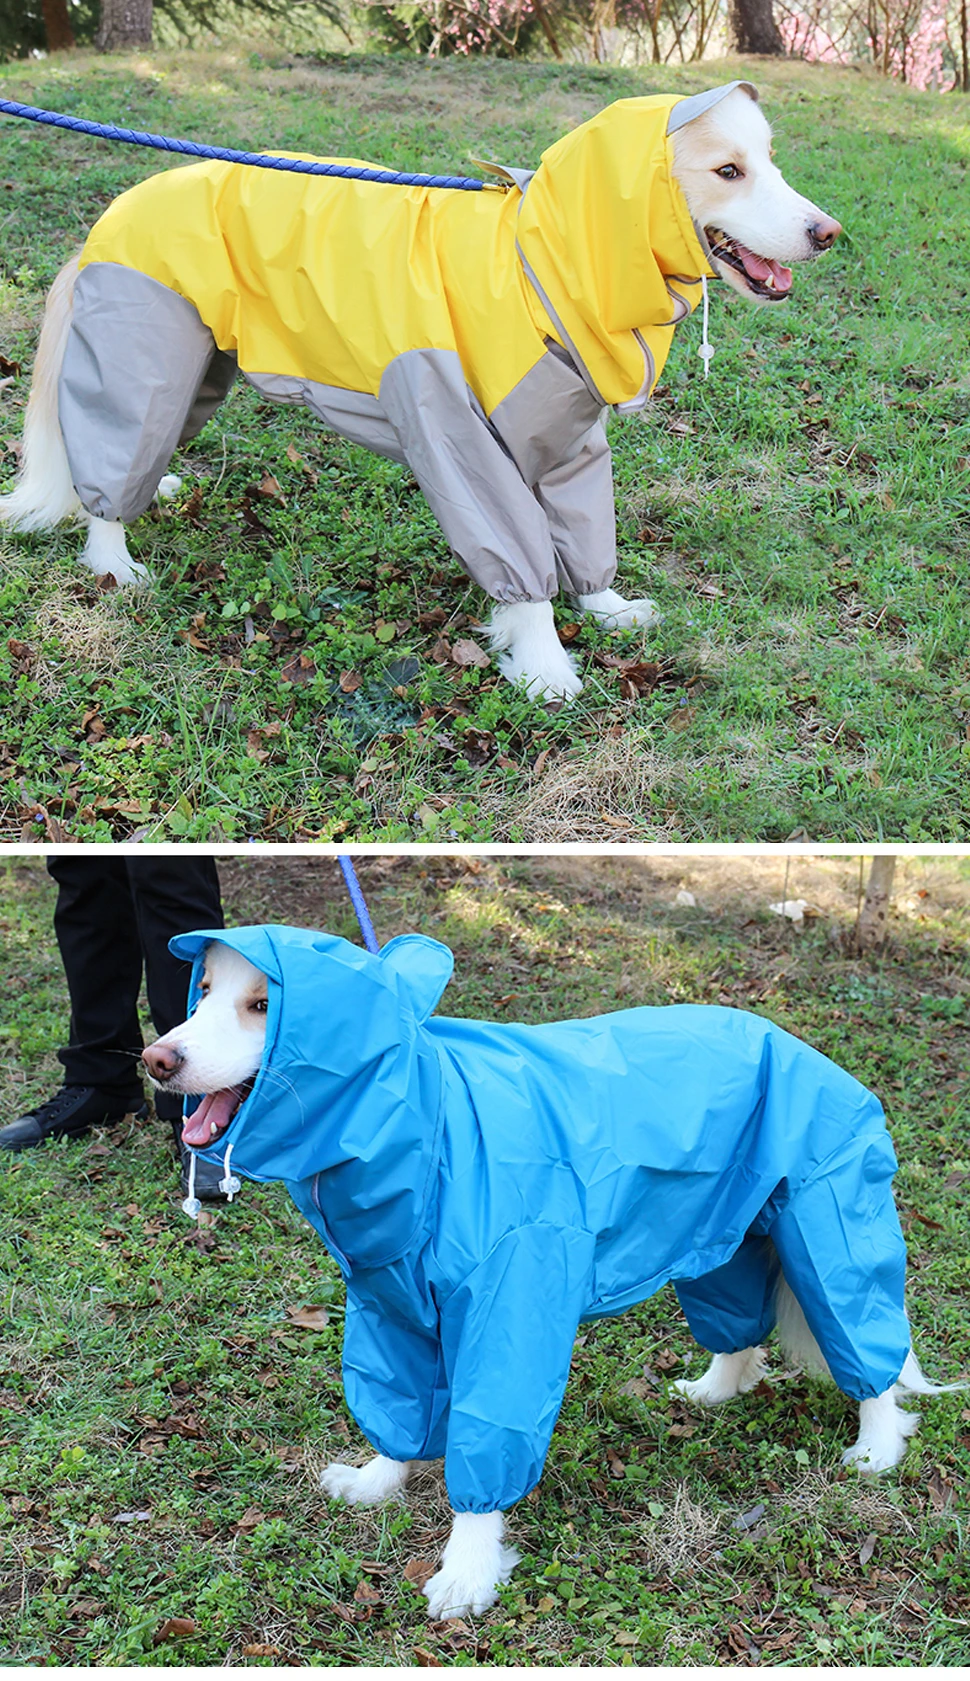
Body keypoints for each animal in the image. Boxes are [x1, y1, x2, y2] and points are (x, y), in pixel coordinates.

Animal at [0, 83, 833, 702]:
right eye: (728, 172)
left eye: (771, 161)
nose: (829, 232)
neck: (538, 266)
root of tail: (116, 210)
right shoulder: (461, 437)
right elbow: (523, 568)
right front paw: (547, 668)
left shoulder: (569, 436)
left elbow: (586, 530)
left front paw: (607, 609)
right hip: (149, 346)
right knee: (110, 457)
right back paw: (114, 558)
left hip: (199, 359)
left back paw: (160, 486)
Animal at [143, 941, 961, 1620]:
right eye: (203, 991)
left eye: (262, 1005)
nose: (155, 1059)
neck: (428, 1126)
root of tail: (802, 1048)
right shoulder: (389, 1304)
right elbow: (400, 1413)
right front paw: (378, 1483)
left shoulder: (512, 1299)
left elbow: (487, 1440)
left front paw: (467, 1574)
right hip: (721, 1230)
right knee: (740, 1327)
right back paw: (713, 1391)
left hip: (824, 1220)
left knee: (864, 1338)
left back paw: (878, 1446)